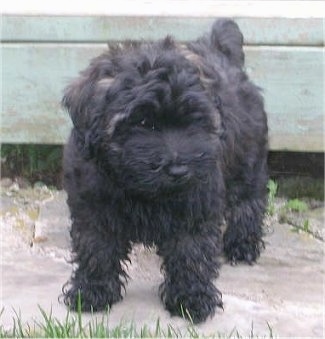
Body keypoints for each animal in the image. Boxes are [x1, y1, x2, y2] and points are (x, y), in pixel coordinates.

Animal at [62, 18, 268, 324]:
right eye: (143, 122)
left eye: (193, 120)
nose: (179, 169)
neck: (140, 188)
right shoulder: (93, 207)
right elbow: (97, 249)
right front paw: (91, 291)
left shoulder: (196, 206)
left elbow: (191, 254)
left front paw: (192, 299)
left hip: (248, 161)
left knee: (248, 201)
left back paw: (242, 244)